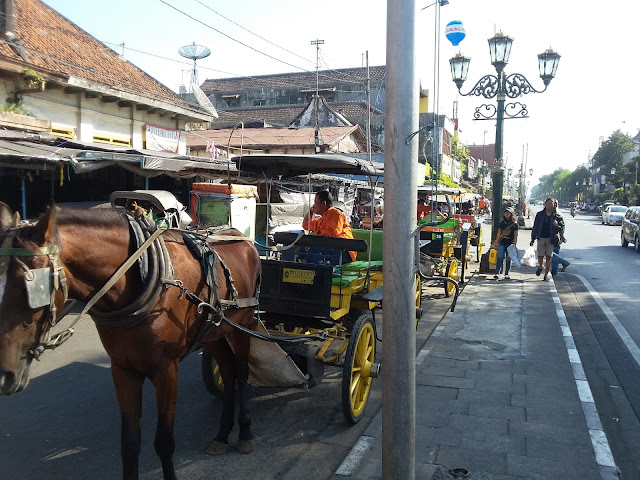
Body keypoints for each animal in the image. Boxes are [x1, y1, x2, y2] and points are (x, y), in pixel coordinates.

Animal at [0, 201, 262, 478]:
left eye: (33, 286)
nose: (3, 375)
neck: (144, 279)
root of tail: (244, 239)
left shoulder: (166, 371)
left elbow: (164, 443)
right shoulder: (123, 370)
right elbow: (129, 444)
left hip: (242, 327)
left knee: (242, 374)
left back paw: (244, 432)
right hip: (213, 332)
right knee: (228, 371)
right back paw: (222, 435)